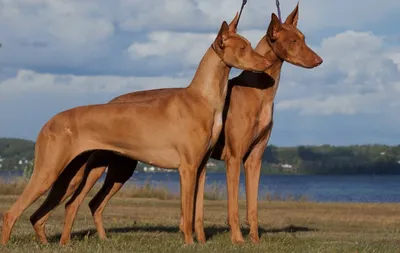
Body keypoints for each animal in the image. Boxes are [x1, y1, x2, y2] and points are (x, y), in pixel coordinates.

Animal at [25, 3, 322, 245]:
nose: (319, 60)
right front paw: (234, 240)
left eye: (304, 38)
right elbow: (224, 209)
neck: (257, 93)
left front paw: (247, 241)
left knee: (89, 204)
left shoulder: (249, 159)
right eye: (293, 41)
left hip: (115, 169)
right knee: (74, 203)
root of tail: (112, 100)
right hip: (94, 169)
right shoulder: (230, 159)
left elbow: (245, 207)